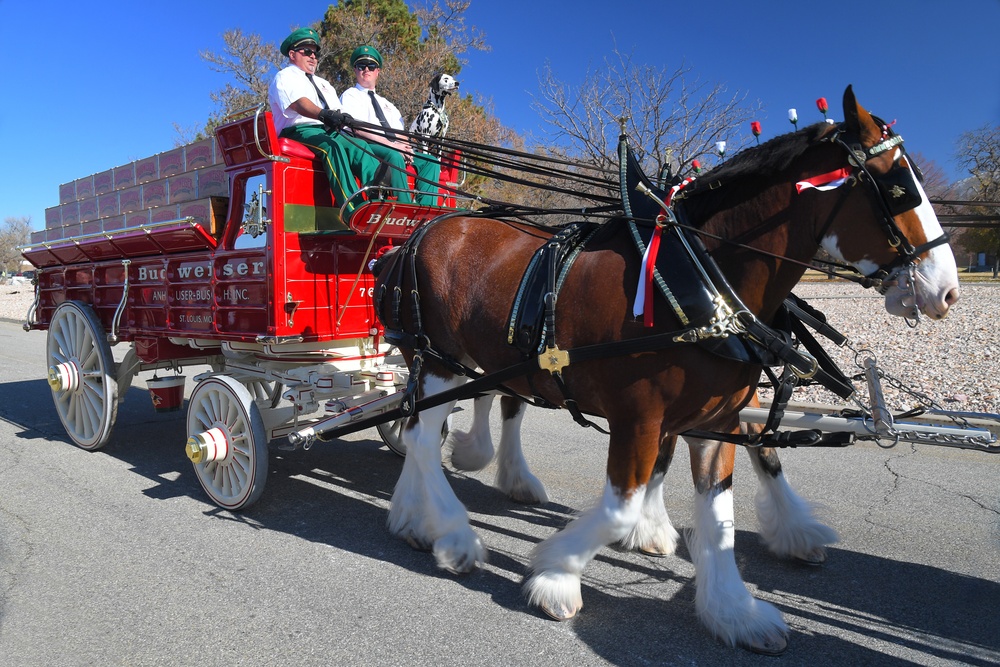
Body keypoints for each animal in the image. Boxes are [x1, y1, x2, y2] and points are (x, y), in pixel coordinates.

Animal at [376, 86, 960, 656]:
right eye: (900, 189)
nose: (946, 291)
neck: (699, 280)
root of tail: (425, 230)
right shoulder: (637, 417)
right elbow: (621, 507)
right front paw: (556, 575)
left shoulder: (716, 419)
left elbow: (722, 511)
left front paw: (734, 610)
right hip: (438, 358)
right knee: (424, 436)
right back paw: (452, 533)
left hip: (476, 360)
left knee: (440, 418)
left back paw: (417, 514)